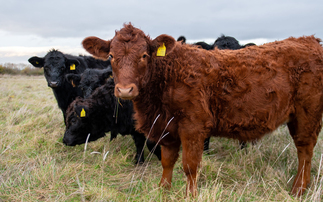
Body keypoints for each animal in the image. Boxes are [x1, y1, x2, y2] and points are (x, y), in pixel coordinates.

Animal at [82, 22, 323, 196]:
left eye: (144, 55)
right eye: (111, 56)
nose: (125, 90)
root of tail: (309, 40)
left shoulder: (193, 126)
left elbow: (190, 165)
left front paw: (190, 194)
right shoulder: (166, 127)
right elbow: (167, 161)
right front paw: (163, 190)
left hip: (308, 114)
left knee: (305, 151)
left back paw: (298, 189)